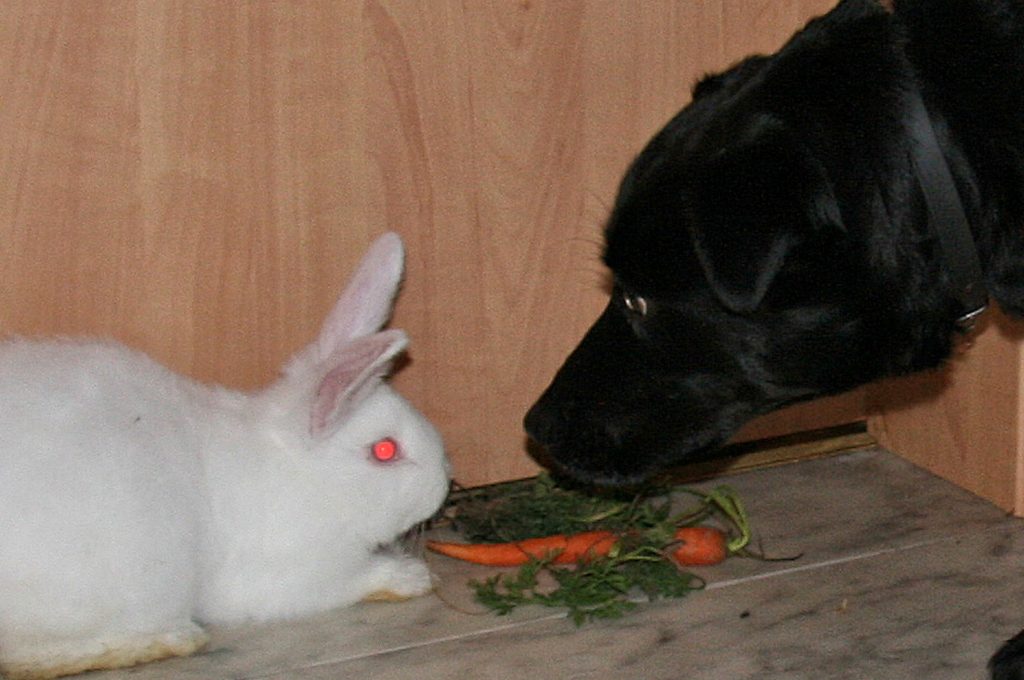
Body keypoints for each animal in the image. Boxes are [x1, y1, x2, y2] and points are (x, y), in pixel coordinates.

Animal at [0, 232, 451, 680]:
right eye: (385, 450)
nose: (445, 482)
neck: (303, 476)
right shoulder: (290, 575)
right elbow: (349, 582)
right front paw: (410, 577)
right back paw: (170, 638)